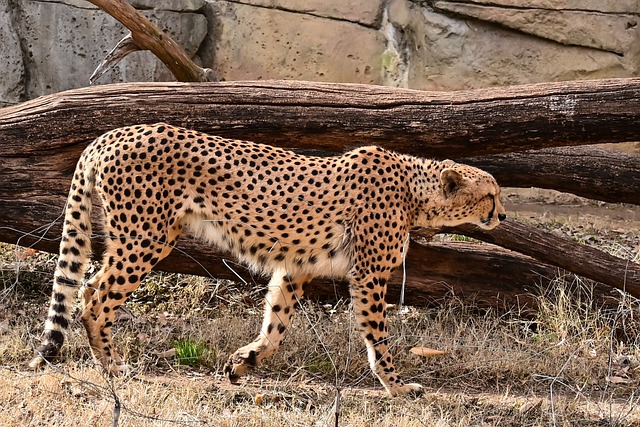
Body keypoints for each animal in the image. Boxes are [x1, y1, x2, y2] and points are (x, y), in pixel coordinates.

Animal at [30, 122, 504, 396]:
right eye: (492, 194)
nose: (502, 214)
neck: (414, 190)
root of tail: (114, 132)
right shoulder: (369, 276)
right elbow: (378, 338)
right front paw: (398, 386)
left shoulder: (296, 268)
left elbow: (276, 325)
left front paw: (245, 362)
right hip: (146, 237)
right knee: (93, 294)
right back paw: (113, 367)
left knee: (87, 289)